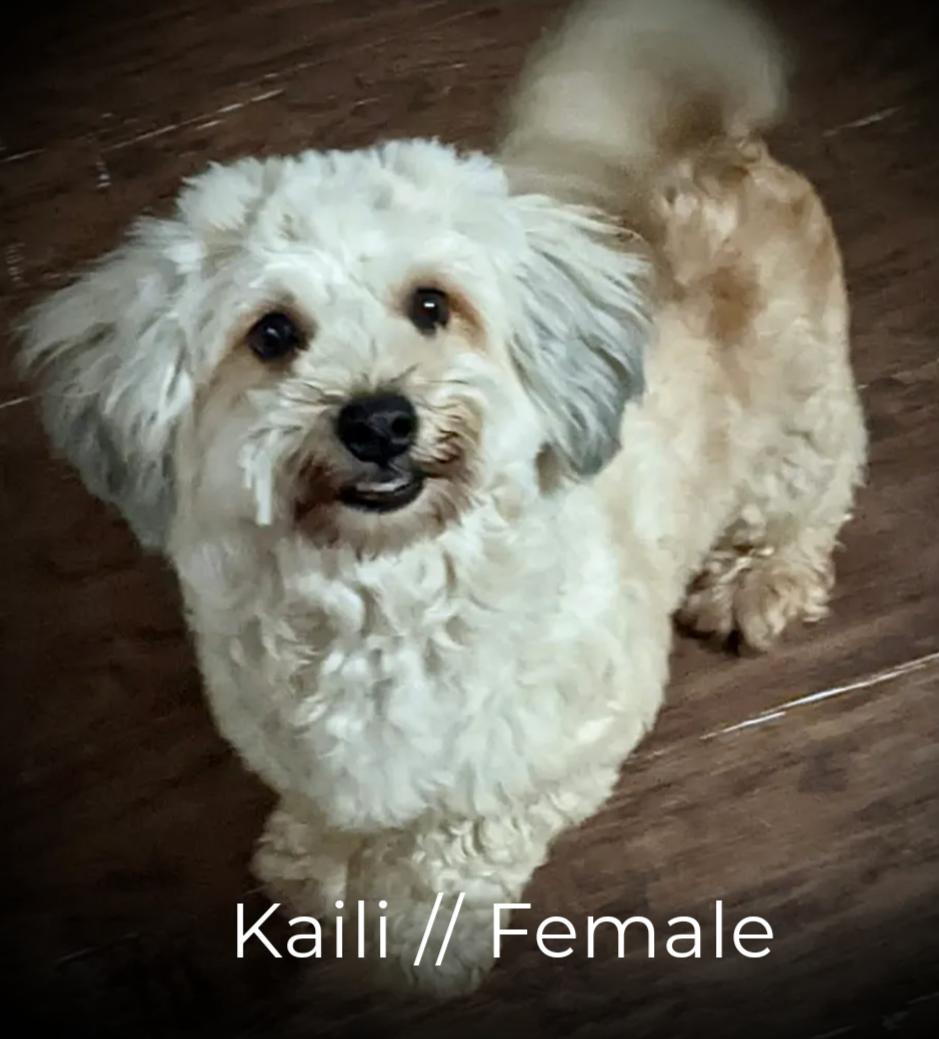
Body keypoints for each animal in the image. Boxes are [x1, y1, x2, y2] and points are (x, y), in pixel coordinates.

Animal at [18, 0, 865, 995]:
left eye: (431, 305)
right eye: (272, 333)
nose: (379, 419)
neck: (384, 590)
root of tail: (723, 151)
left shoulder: (557, 750)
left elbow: (456, 849)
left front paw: (422, 933)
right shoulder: (299, 748)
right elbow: (329, 811)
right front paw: (311, 868)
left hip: (802, 419)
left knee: (809, 496)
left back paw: (756, 579)